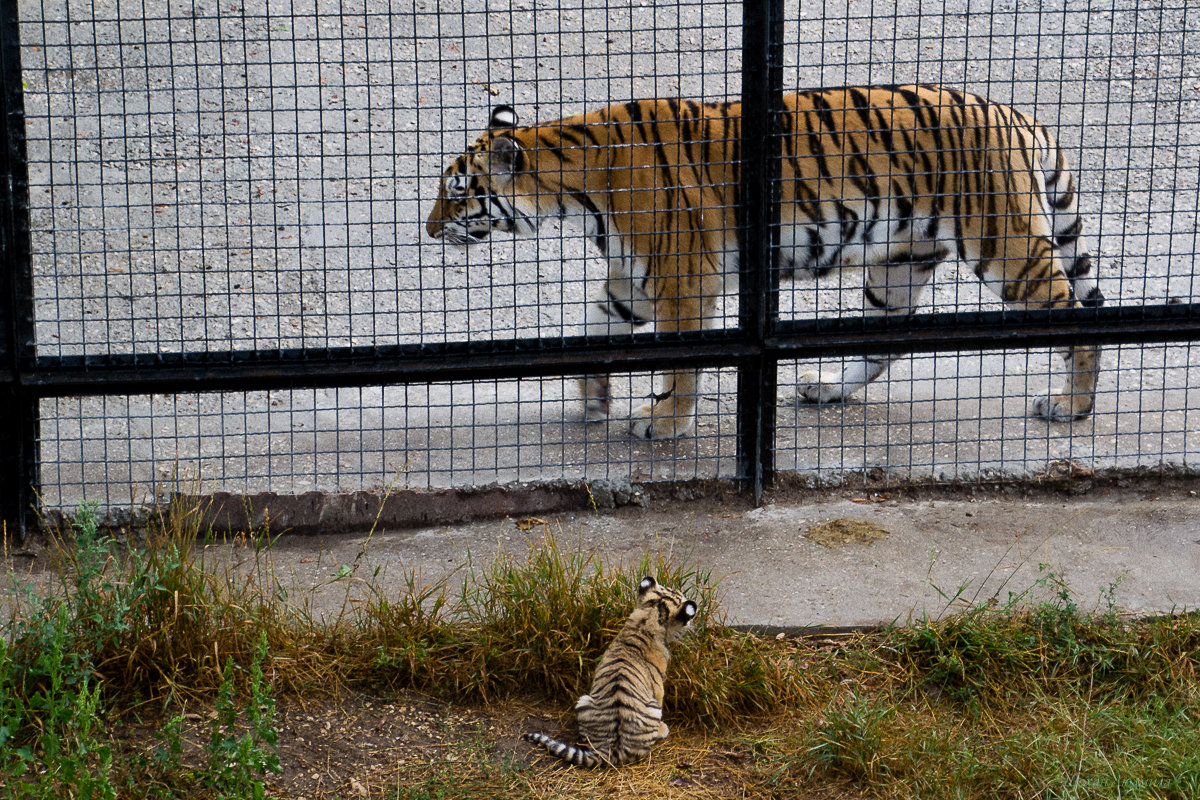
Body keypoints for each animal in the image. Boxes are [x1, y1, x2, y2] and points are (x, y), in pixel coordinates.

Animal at [427, 86, 1099, 438]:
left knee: (1075, 314)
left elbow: (680, 366)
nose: (430, 229)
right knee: (883, 343)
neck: (577, 189)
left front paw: (662, 422)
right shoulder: (630, 282)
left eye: (457, 193)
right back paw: (825, 388)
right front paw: (594, 400)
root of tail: (1016, 114)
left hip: (1005, 250)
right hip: (898, 265)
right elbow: (595, 332)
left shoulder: (681, 282)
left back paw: (1072, 406)